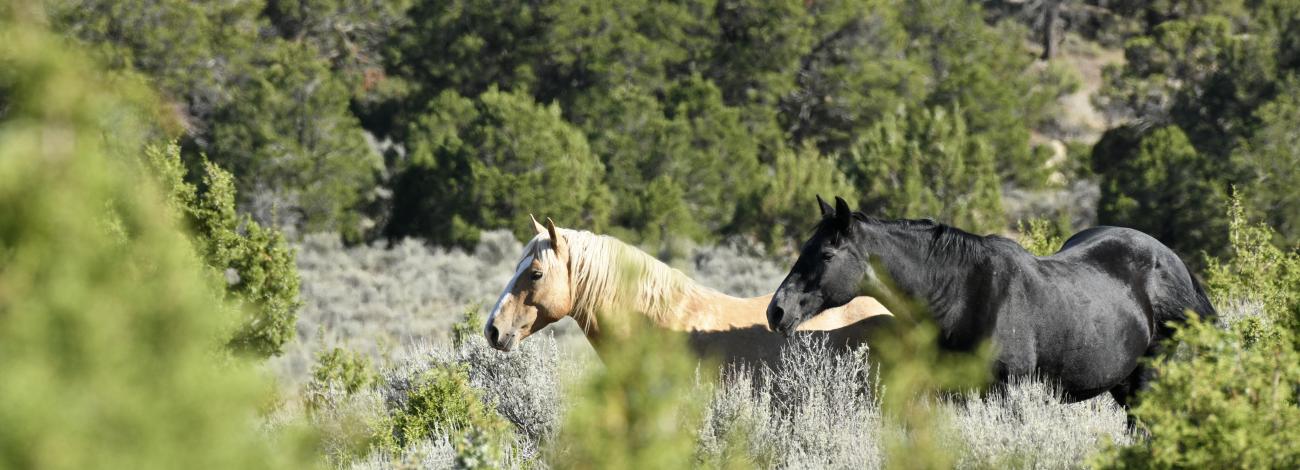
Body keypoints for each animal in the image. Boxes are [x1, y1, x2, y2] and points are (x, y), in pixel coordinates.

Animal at [767, 196, 1216, 408]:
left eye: (826, 254)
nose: (776, 311)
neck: (964, 296)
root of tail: (1169, 260)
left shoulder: (1007, 392)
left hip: (1147, 377)